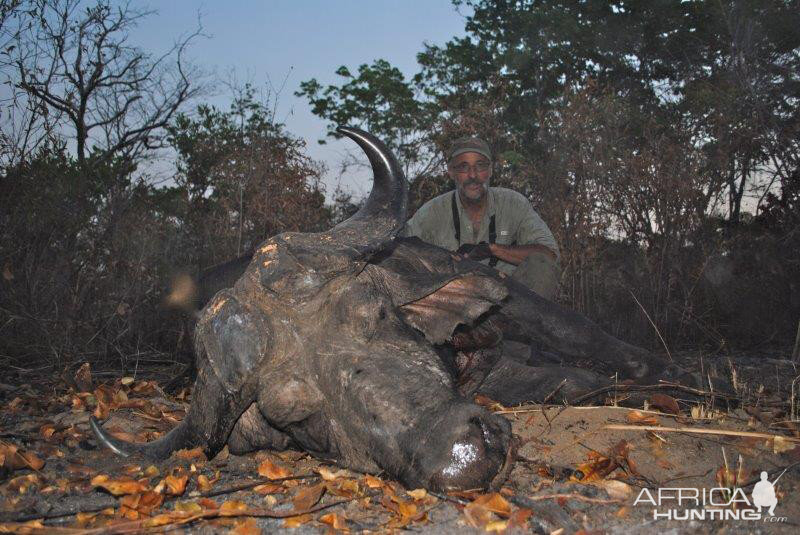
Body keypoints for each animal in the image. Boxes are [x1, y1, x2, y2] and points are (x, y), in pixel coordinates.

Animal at [90, 127, 692, 492]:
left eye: (376, 314)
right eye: (296, 415)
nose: (462, 451)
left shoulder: (516, 309)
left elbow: (603, 346)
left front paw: (693, 382)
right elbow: (572, 384)